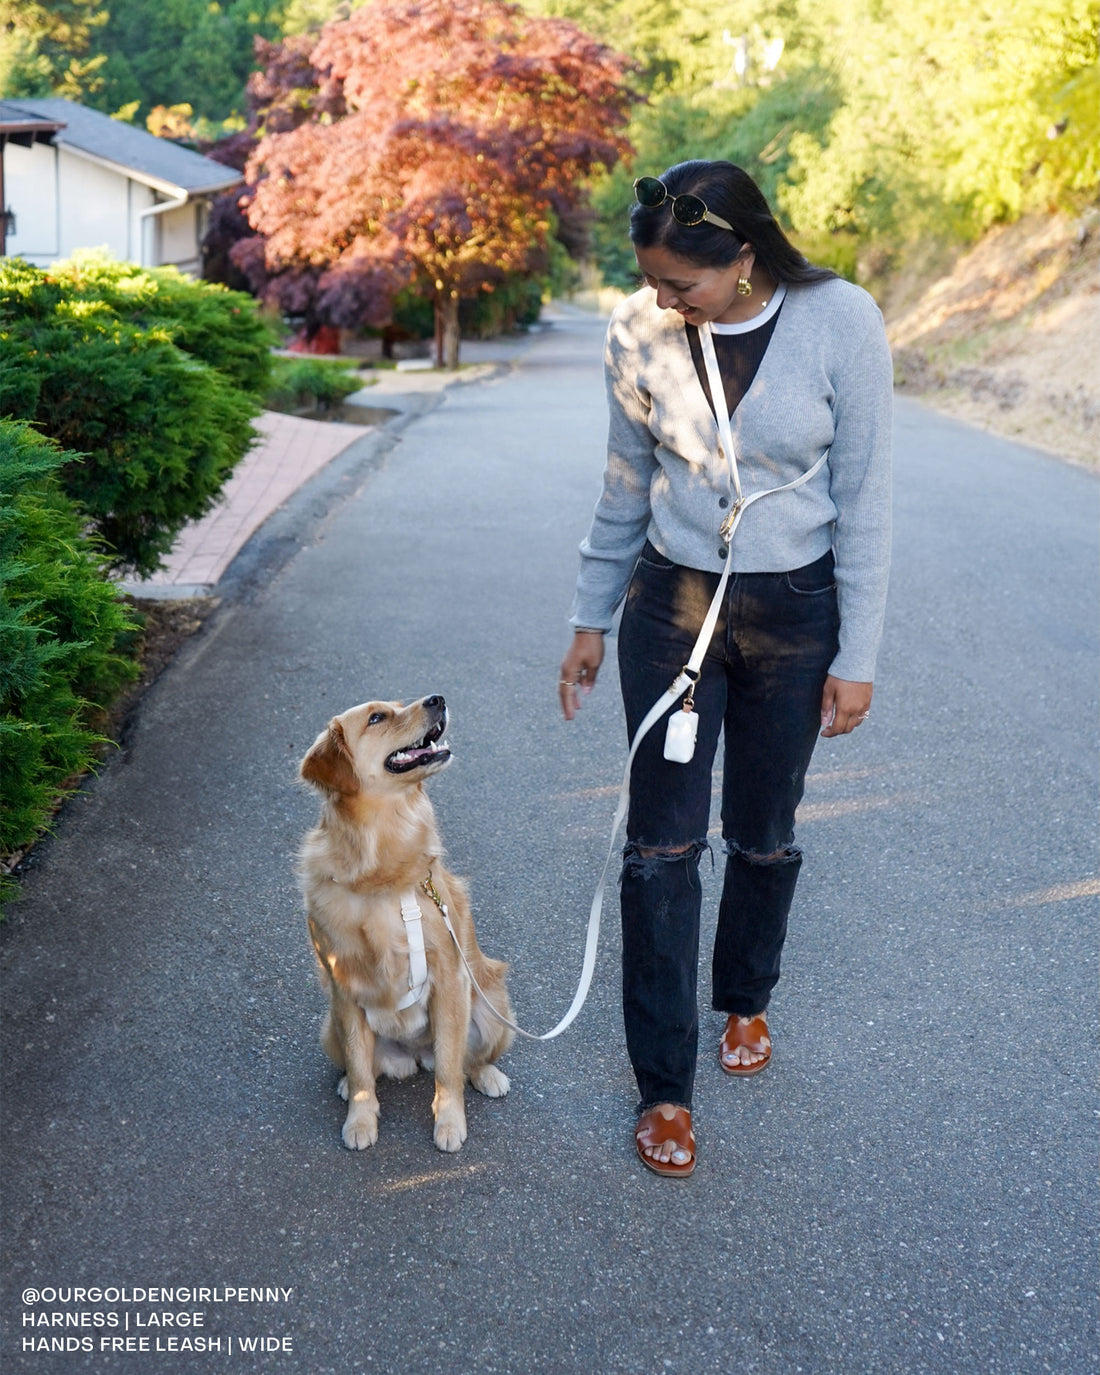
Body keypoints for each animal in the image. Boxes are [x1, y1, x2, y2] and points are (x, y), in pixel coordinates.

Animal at [294, 693, 514, 1155]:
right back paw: (348, 1085)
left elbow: (449, 1069)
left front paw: (449, 1122)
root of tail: (413, 1054)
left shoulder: (449, 977)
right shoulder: (343, 986)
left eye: (398, 704)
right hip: (329, 1029)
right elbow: (361, 1068)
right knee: (363, 1064)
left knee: (466, 1060)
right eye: (377, 717)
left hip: (493, 1006)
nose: (438, 698)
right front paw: (360, 1119)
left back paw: (488, 1075)